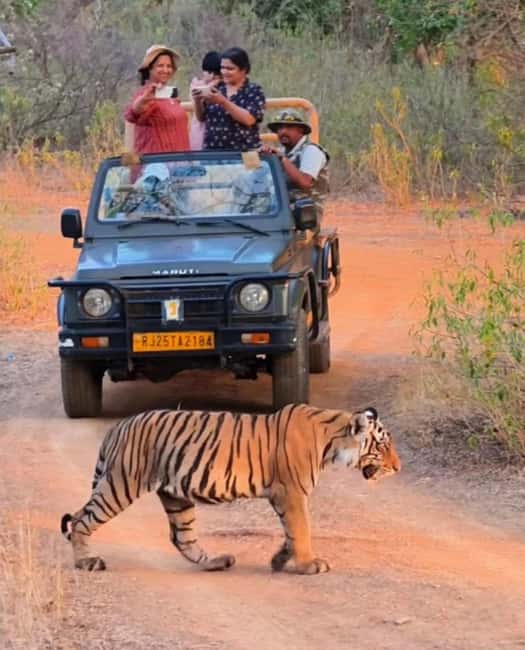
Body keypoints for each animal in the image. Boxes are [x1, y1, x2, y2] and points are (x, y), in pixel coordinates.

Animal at [61, 403, 400, 575]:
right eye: (383, 445)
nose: (399, 468)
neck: (332, 441)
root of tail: (118, 426)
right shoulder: (292, 492)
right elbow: (302, 529)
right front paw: (307, 564)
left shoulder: (285, 496)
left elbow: (292, 531)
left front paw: (280, 560)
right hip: (122, 483)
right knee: (81, 520)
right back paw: (86, 562)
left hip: (176, 497)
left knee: (182, 538)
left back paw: (217, 561)